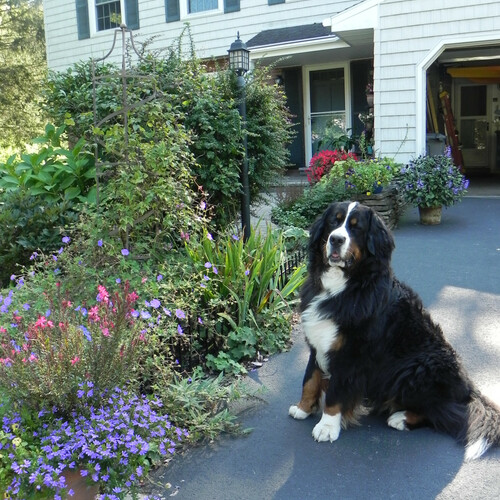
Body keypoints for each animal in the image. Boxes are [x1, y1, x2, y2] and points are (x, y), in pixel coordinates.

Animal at [290, 201, 500, 458]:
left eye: (356, 227)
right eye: (333, 221)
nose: (336, 239)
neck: (342, 287)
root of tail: (468, 388)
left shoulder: (351, 354)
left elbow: (335, 392)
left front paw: (327, 426)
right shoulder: (318, 342)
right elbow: (309, 379)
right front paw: (302, 408)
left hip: (414, 369)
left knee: (442, 412)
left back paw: (400, 418)